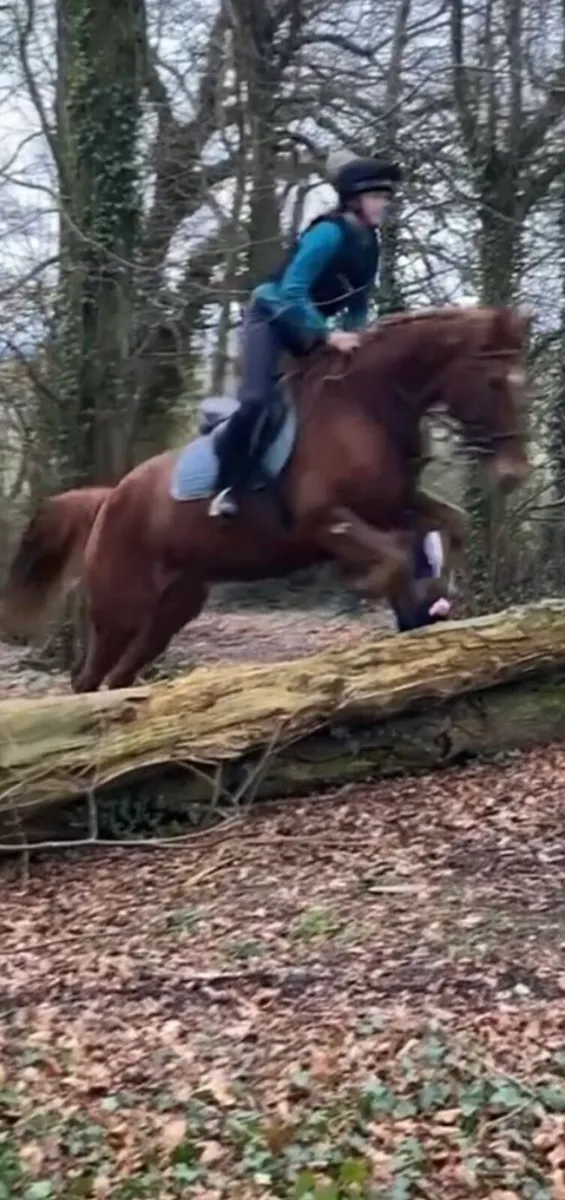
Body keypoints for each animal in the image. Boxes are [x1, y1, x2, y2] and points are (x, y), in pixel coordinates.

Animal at [0, 304, 530, 692]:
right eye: (494, 382)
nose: (513, 474)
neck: (367, 404)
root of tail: (110, 499)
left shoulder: (392, 503)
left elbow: (451, 523)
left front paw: (437, 595)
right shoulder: (324, 521)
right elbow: (395, 556)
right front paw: (384, 586)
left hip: (173, 608)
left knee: (119, 677)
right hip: (120, 608)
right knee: (87, 679)